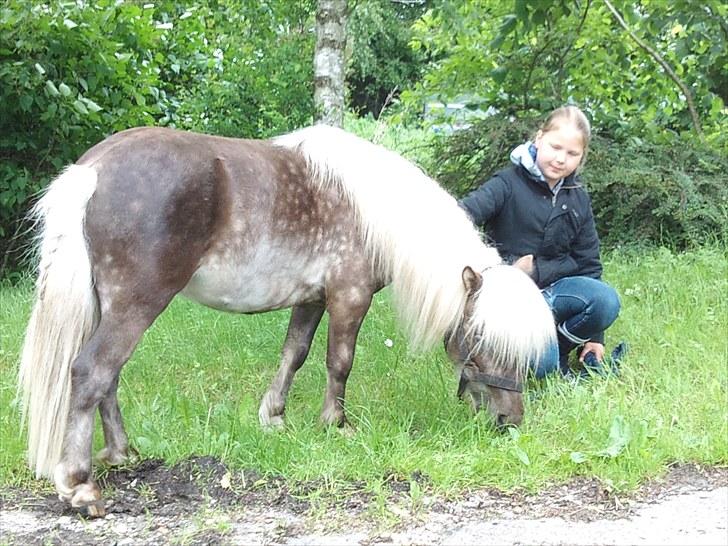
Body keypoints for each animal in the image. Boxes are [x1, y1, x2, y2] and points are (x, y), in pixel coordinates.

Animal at [18, 124, 552, 516]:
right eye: (479, 338)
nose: (509, 421)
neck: (372, 214)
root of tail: (91, 170)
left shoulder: (311, 299)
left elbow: (294, 354)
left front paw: (273, 418)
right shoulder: (349, 297)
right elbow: (340, 361)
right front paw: (335, 424)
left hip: (110, 305)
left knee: (107, 377)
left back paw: (122, 454)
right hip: (137, 303)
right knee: (93, 372)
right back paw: (81, 486)